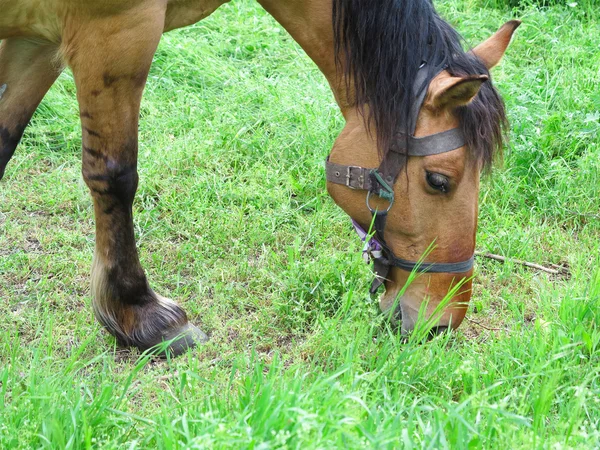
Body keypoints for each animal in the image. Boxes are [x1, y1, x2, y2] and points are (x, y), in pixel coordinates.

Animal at [0, 0, 516, 356]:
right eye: (438, 181)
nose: (442, 324)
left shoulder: (37, 40)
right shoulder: (115, 31)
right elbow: (114, 175)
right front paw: (138, 315)